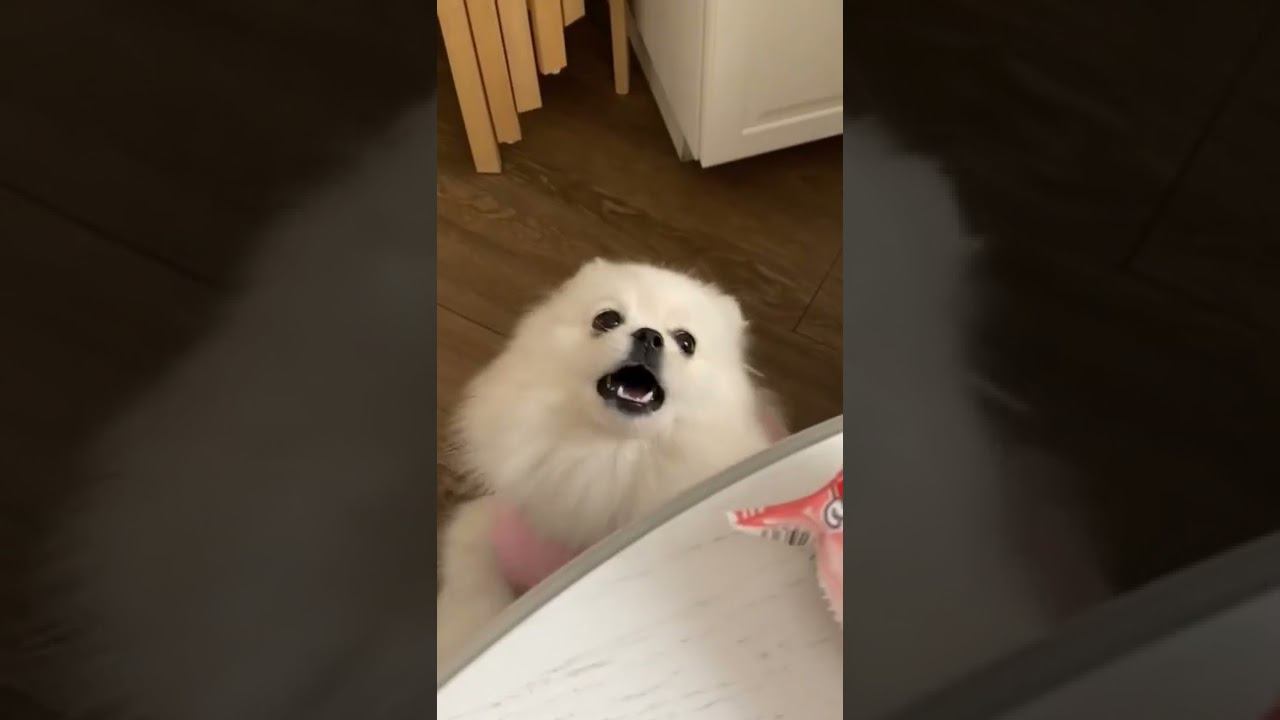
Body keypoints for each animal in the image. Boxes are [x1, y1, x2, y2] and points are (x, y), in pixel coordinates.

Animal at [436, 259, 782, 667]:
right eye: (607, 319)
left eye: (686, 342)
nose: (649, 336)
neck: (610, 454)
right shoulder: (487, 525)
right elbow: (474, 590)